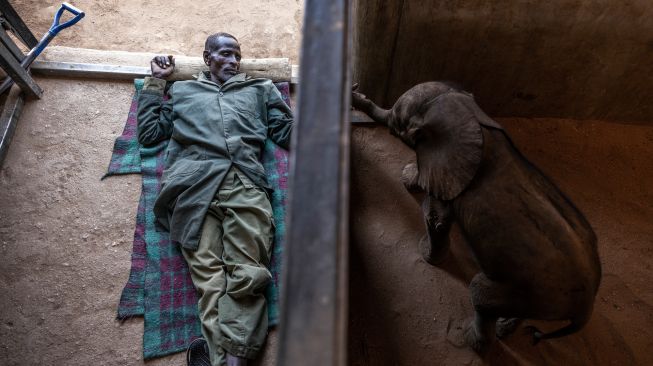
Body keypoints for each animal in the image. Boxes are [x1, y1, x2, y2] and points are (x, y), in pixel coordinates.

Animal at [352, 82, 600, 352]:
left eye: (398, 123)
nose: (356, 92)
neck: (473, 119)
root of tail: (586, 308)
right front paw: (409, 178)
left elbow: (435, 216)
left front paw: (427, 256)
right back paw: (504, 328)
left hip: (529, 288)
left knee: (481, 294)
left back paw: (468, 338)